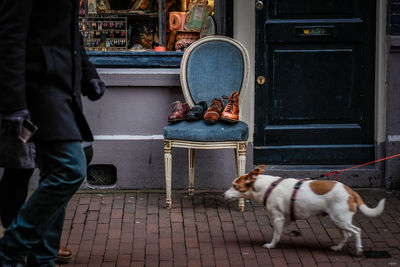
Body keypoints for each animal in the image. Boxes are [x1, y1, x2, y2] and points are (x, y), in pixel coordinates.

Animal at [223, 165, 386, 255]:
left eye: (234, 186)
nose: (223, 194)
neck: (267, 186)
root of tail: (351, 191)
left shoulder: (278, 218)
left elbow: (276, 234)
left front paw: (271, 245)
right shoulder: (286, 218)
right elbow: (284, 229)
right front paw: (292, 233)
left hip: (340, 219)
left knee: (356, 231)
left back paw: (358, 249)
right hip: (339, 220)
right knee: (347, 234)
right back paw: (337, 247)